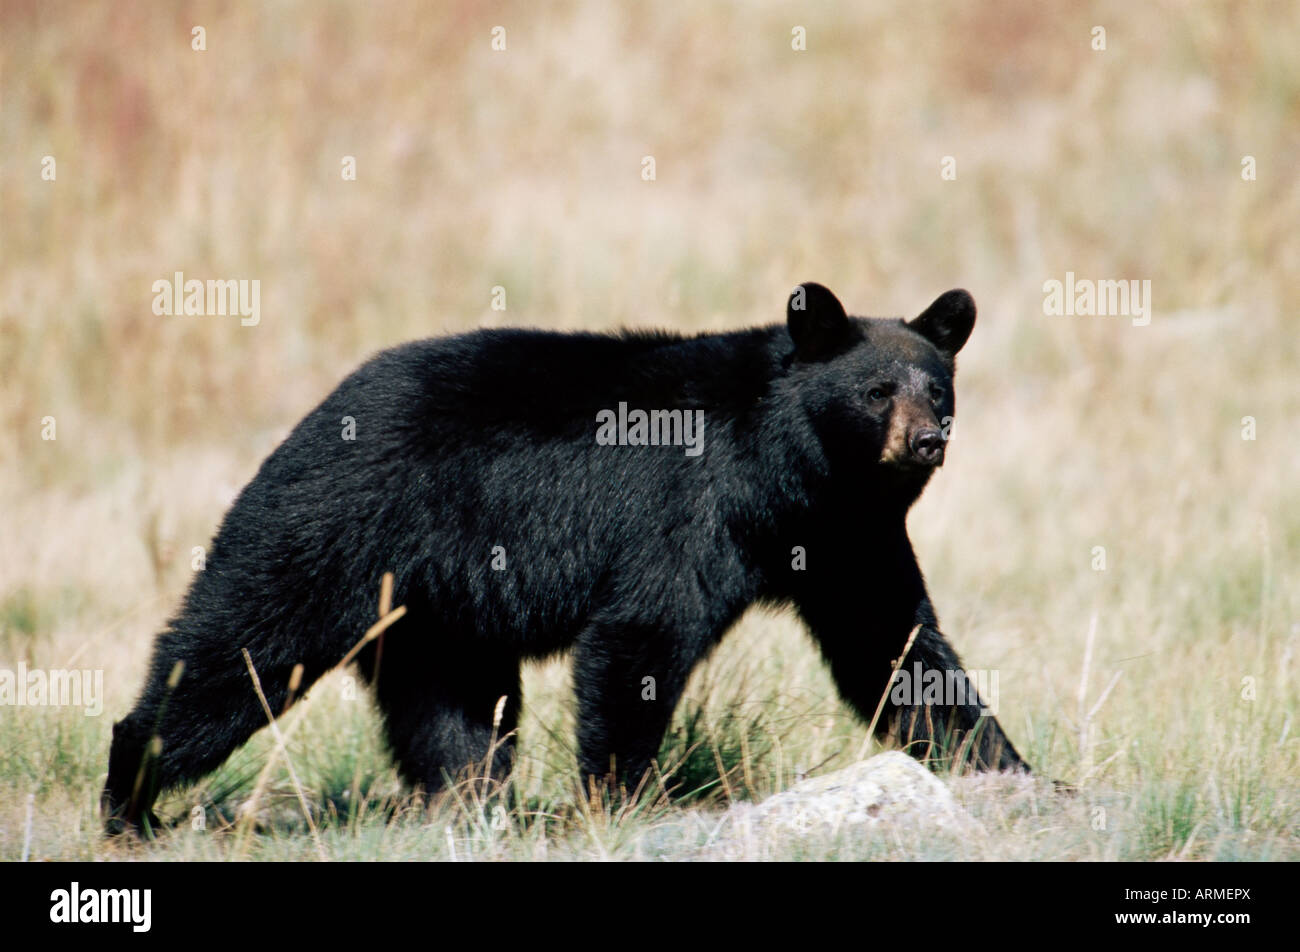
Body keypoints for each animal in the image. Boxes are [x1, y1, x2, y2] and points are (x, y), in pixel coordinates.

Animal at [103, 282, 1029, 835]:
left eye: (938, 389)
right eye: (875, 392)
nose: (926, 441)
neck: (796, 477)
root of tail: (316, 412)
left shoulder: (848, 535)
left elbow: (894, 647)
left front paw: (1005, 770)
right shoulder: (694, 510)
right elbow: (643, 634)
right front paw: (620, 800)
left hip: (441, 606)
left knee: (456, 711)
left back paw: (469, 807)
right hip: (328, 533)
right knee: (240, 650)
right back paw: (130, 800)